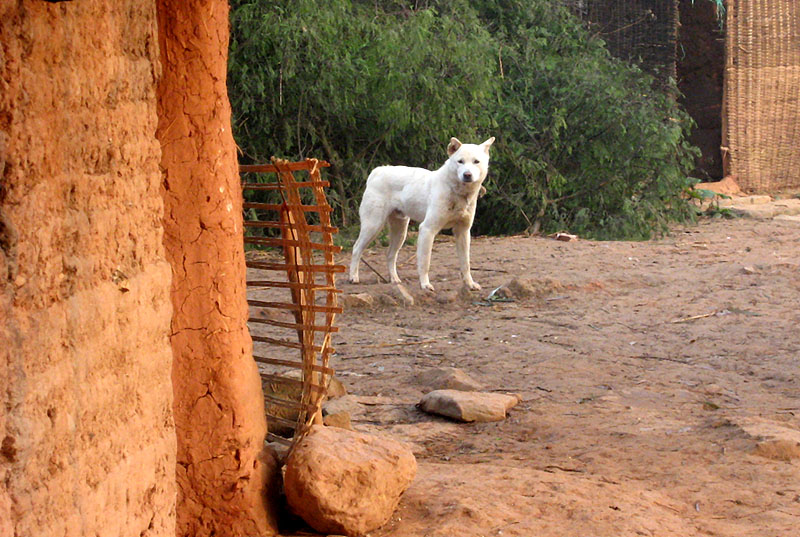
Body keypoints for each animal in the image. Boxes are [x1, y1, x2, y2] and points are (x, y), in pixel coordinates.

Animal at [348, 136, 494, 292]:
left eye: (476, 162)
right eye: (460, 161)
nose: (467, 175)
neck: (457, 192)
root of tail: (378, 171)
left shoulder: (463, 232)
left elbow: (466, 263)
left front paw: (470, 284)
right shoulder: (427, 229)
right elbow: (425, 262)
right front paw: (425, 284)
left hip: (400, 232)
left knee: (390, 255)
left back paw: (395, 280)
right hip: (373, 226)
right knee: (356, 248)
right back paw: (353, 277)